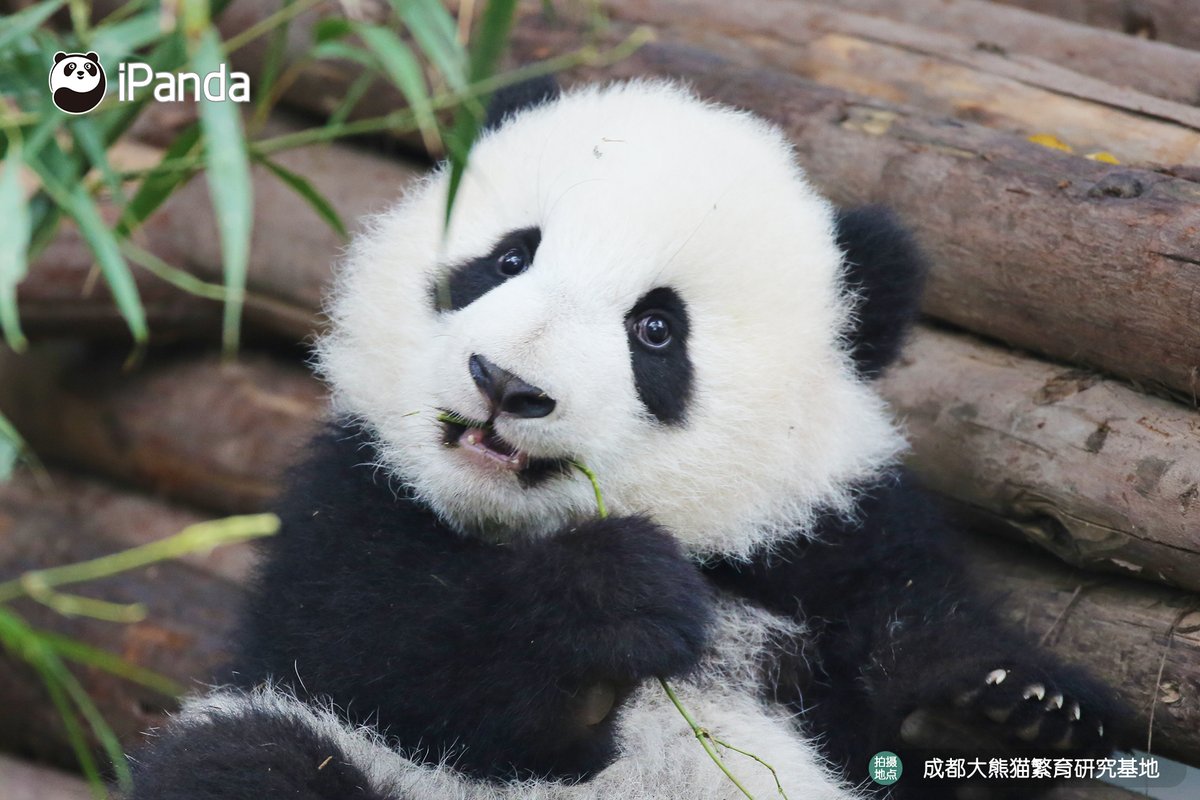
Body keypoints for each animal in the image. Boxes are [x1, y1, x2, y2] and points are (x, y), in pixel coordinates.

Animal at [128, 81, 1122, 800]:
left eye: (655, 330)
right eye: (509, 257)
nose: (505, 384)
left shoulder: (827, 535)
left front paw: (1002, 712)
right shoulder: (355, 490)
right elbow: (373, 645)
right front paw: (610, 600)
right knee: (250, 757)